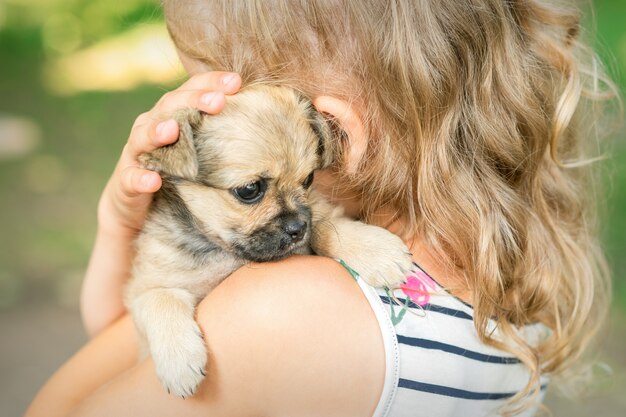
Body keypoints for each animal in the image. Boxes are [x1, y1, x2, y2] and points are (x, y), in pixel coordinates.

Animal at [124, 85, 412, 396]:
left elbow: (326, 224)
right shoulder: (144, 289)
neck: (225, 251)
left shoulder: (314, 216)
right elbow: (160, 299)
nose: (298, 228)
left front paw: (375, 250)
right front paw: (179, 361)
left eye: (308, 179)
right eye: (250, 189)